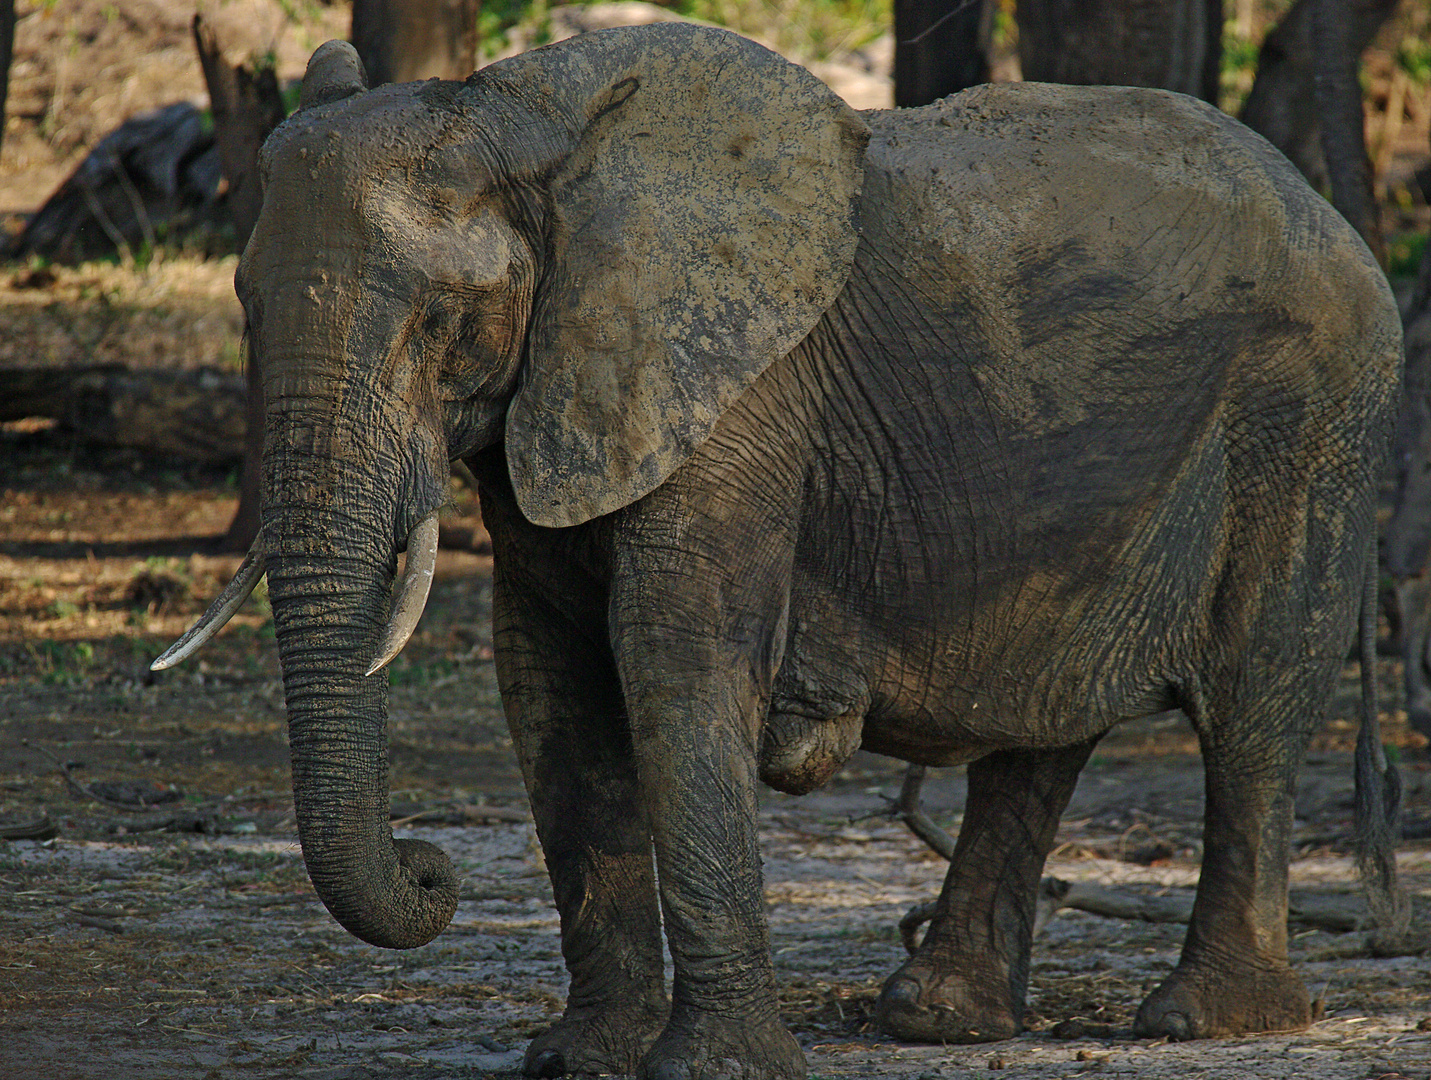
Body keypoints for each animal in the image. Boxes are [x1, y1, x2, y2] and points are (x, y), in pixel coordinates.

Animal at [150, 23, 1402, 1080]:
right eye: (244, 304)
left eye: (440, 322)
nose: (430, 867)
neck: (532, 120)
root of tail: (1332, 212)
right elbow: (548, 681)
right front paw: (580, 1061)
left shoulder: (739, 386)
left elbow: (673, 658)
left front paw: (712, 1071)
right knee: (1045, 719)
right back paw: (935, 1018)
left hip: (1313, 411)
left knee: (1254, 700)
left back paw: (1202, 1019)